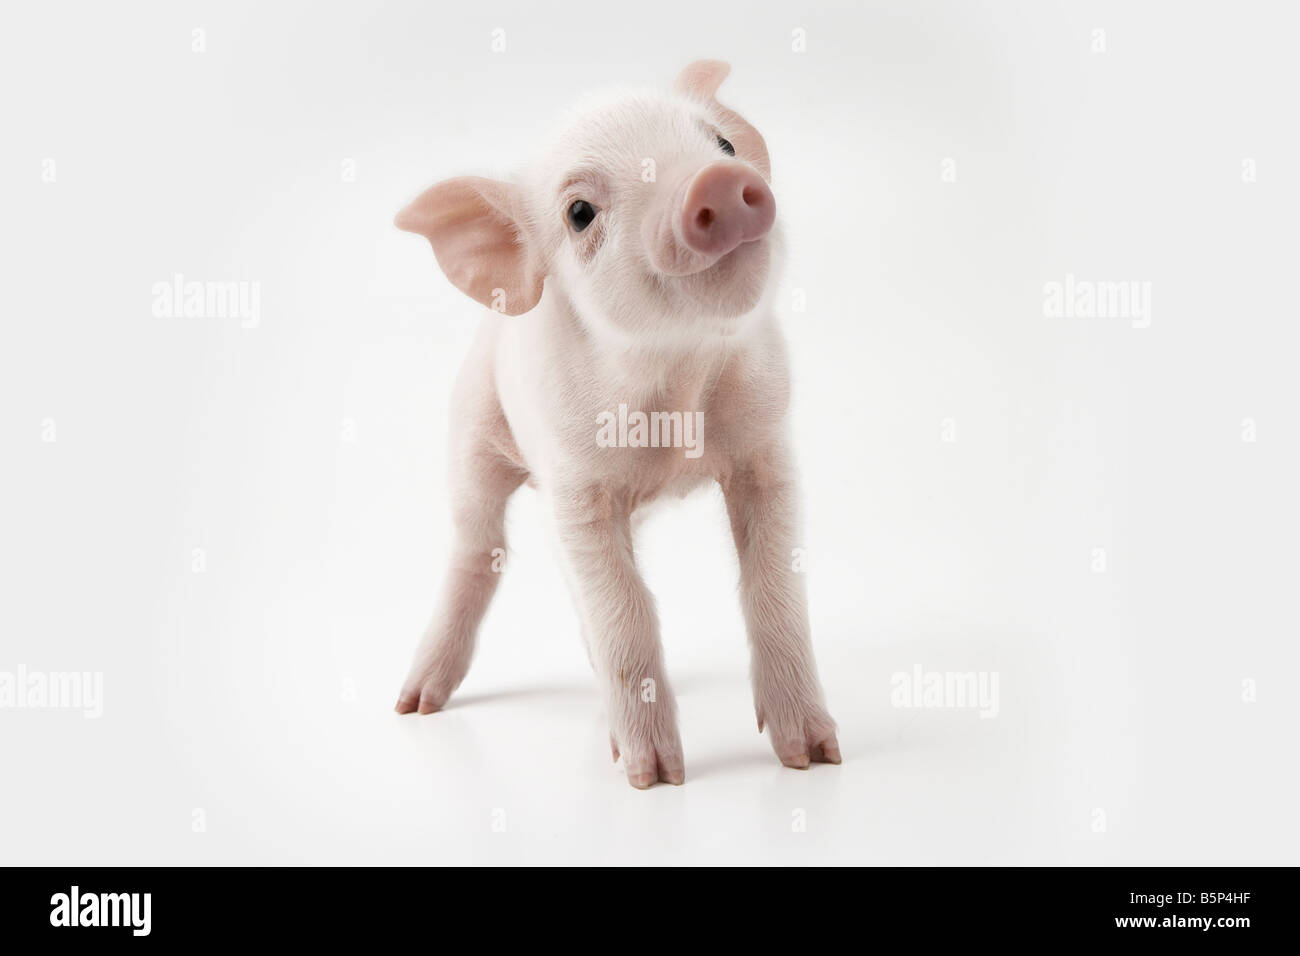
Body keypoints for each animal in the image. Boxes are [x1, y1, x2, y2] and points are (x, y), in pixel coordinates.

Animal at [393, 60, 839, 788]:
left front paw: (815, 757)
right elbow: (624, 607)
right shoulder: (579, 488)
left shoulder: (766, 450)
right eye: (580, 213)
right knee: (478, 547)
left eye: (723, 144)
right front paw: (654, 779)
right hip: (470, 432)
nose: (715, 181)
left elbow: (772, 583)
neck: (678, 383)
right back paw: (414, 705)